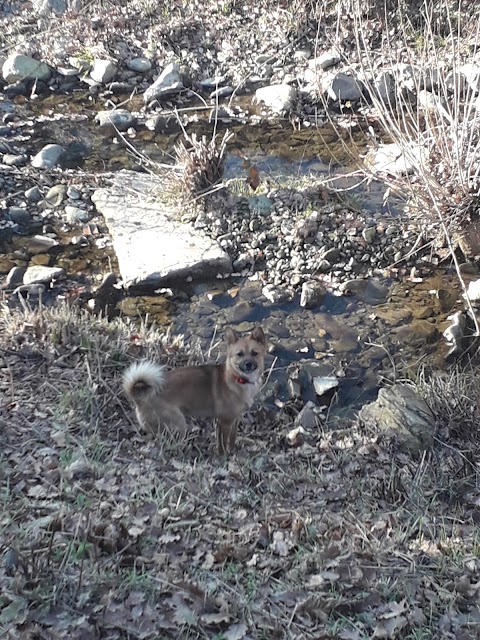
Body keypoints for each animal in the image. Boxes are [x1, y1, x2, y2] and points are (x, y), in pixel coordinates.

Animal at [122, 324, 268, 456]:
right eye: (239, 354)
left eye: (255, 353)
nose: (248, 364)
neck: (239, 379)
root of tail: (140, 398)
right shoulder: (225, 422)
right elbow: (222, 444)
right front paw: (223, 457)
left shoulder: (235, 419)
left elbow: (232, 439)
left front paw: (232, 451)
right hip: (178, 423)